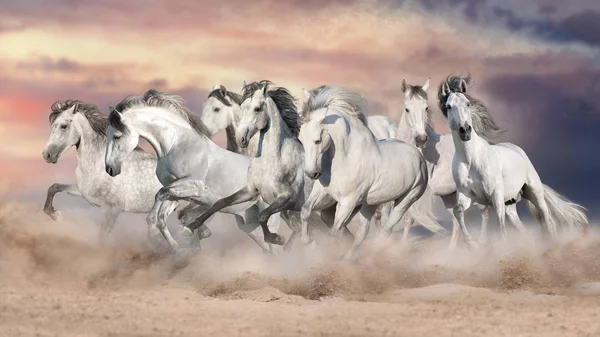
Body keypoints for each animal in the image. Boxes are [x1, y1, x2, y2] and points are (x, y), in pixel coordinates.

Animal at [41, 99, 204, 247]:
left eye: (63, 126)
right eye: (53, 125)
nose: (46, 155)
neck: (98, 164)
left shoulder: (112, 210)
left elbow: (103, 239)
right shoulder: (82, 192)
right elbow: (54, 187)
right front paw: (55, 215)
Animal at [102, 88, 278, 252]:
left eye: (117, 136)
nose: (109, 169)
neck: (177, 144)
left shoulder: (194, 185)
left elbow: (159, 197)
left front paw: (158, 240)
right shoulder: (177, 193)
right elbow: (160, 216)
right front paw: (175, 247)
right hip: (250, 225)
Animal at [298, 85, 434, 256]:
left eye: (317, 140)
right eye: (301, 140)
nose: (312, 173)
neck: (345, 158)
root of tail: (418, 155)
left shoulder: (349, 201)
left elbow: (334, 233)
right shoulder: (323, 192)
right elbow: (306, 211)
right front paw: (308, 241)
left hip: (405, 201)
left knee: (386, 231)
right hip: (371, 204)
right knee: (363, 232)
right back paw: (349, 257)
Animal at [394, 79, 492, 247]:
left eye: (426, 108)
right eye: (407, 109)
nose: (421, 139)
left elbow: (409, 218)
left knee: (484, 211)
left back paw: (482, 242)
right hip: (449, 197)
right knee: (456, 220)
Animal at [438, 74, 588, 247]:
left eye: (467, 103)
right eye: (448, 106)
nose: (465, 131)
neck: (471, 160)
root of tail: (518, 150)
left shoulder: (495, 195)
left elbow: (500, 228)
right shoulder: (467, 195)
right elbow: (458, 212)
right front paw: (472, 244)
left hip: (534, 192)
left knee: (547, 218)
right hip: (510, 205)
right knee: (525, 230)